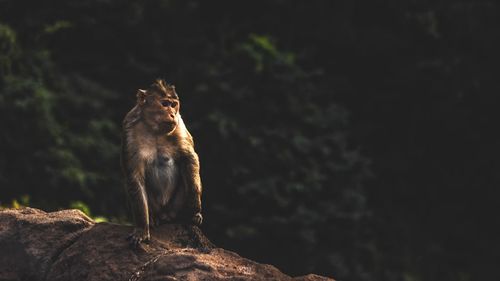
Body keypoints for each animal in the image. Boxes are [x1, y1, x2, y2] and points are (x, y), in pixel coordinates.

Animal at [122, 79, 202, 247]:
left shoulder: (179, 125)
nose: (172, 114)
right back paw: (153, 219)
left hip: (175, 206)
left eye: (174, 104)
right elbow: (134, 176)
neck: (154, 129)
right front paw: (142, 228)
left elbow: (189, 157)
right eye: (164, 104)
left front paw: (195, 207)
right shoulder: (129, 126)